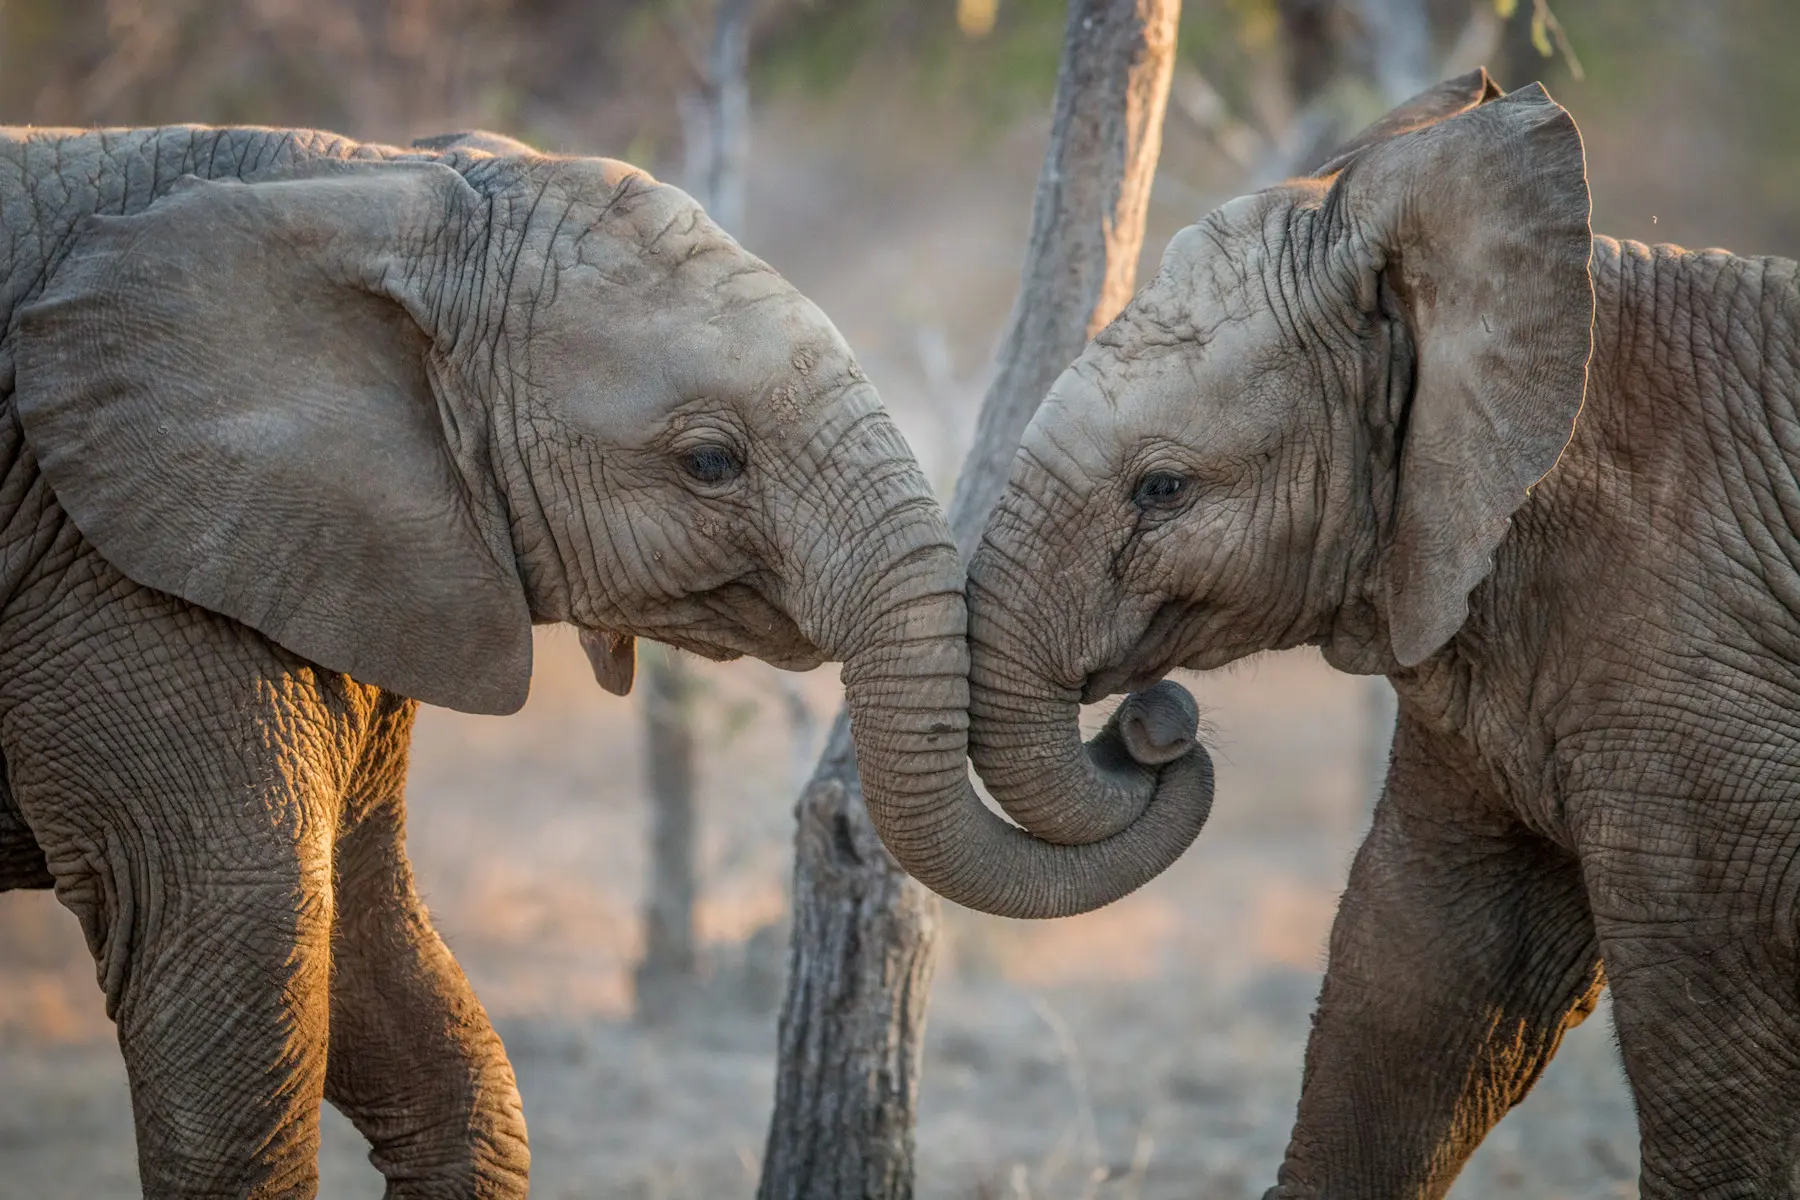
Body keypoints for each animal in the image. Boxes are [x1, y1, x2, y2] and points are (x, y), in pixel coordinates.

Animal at [0, 125, 1211, 1197]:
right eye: (709, 462)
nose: (1155, 719)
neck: (366, 183)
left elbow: (382, 956)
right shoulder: (117, 575)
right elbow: (247, 932)